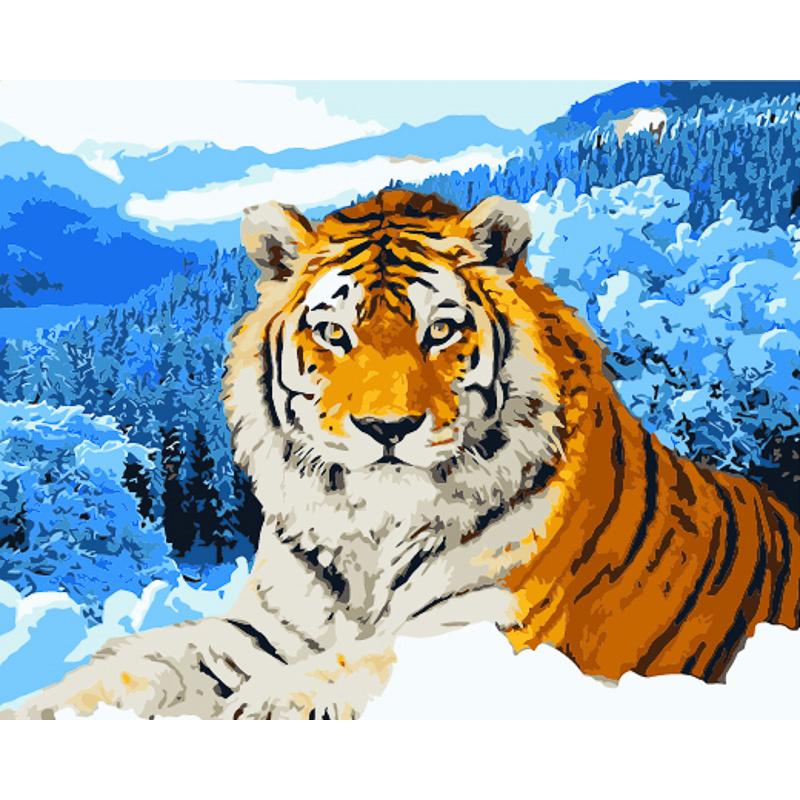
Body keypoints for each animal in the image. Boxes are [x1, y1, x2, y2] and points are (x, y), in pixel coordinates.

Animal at [7, 189, 799, 720]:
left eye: (440, 330)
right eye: (334, 333)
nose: (386, 428)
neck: (375, 531)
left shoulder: (498, 630)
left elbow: (366, 656)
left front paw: (263, 705)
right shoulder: (261, 627)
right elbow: (135, 662)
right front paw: (35, 711)